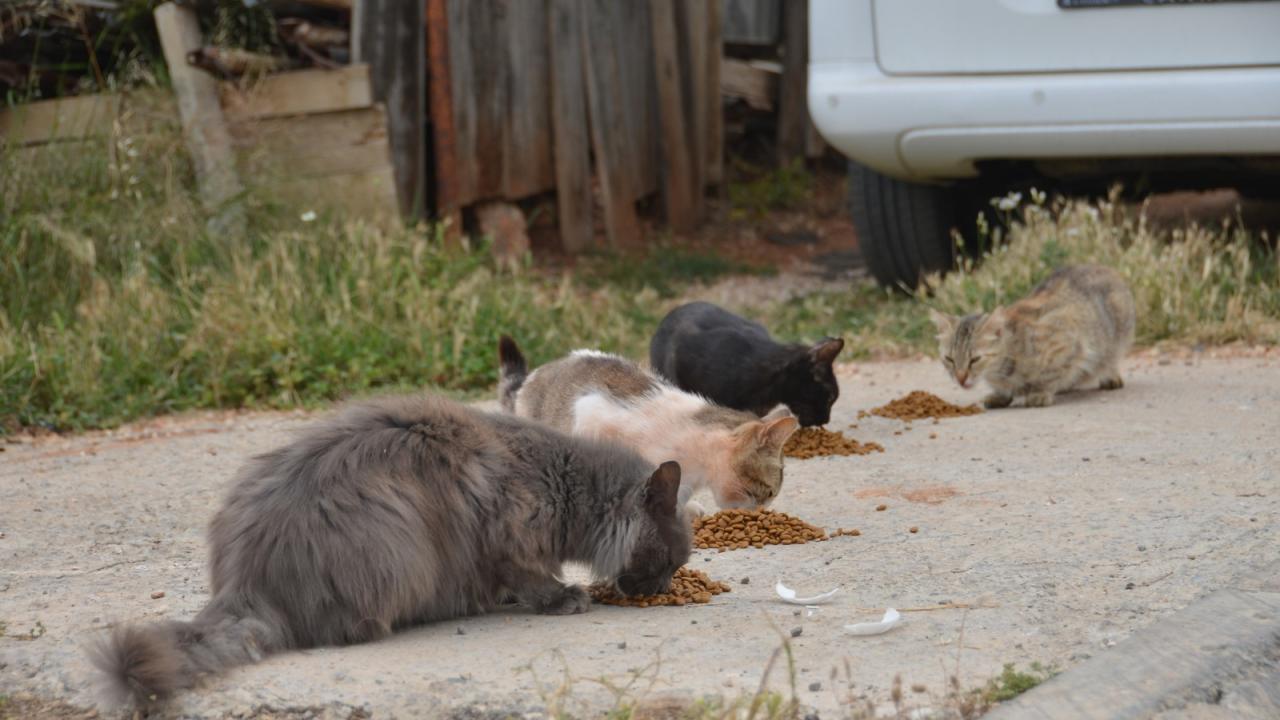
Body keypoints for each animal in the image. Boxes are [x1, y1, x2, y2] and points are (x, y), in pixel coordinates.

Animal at [90, 389, 691, 702]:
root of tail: (244, 583)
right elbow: (528, 577)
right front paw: (563, 597)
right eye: (672, 558)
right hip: (400, 548)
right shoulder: (506, 534)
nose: (663, 585)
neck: (562, 481)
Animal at [931, 263, 1131, 409]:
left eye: (975, 359)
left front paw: (1039, 393)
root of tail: (1101, 266)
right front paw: (1001, 395)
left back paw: (1108, 376)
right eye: (949, 359)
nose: (960, 378)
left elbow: (1049, 375)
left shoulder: (1068, 340)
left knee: (1109, 358)